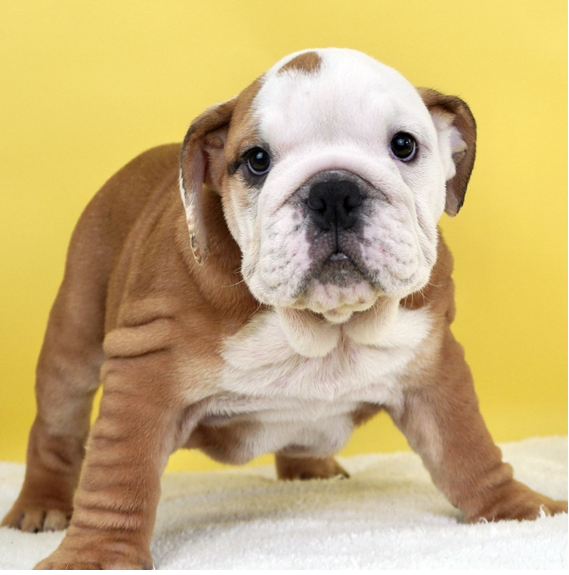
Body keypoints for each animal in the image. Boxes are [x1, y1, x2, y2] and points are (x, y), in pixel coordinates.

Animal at [3, 48, 566, 569]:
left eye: (404, 145)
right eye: (256, 160)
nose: (334, 191)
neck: (324, 324)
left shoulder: (433, 364)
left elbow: (468, 447)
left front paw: (519, 511)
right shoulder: (144, 373)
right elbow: (120, 473)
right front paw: (96, 557)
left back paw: (310, 468)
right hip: (74, 335)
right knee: (57, 423)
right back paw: (41, 505)